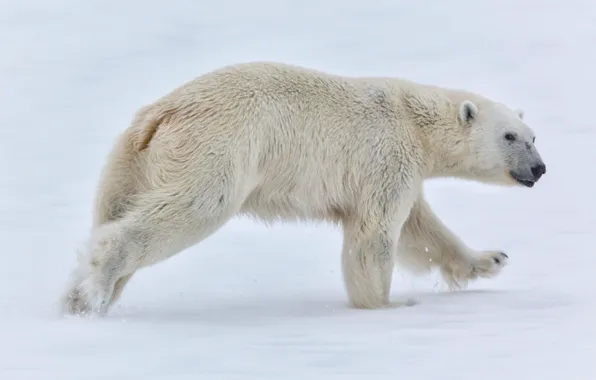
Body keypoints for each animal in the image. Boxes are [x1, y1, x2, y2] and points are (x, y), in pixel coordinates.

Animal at [60, 61, 544, 314]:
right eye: (509, 136)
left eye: (533, 135)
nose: (539, 169)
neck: (415, 120)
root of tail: (161, 114)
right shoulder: (385, 156)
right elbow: (376, 235)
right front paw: (386, 306)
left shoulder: (401, 169)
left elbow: (420, 231)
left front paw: (490, 259)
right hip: (217, 147)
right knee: (191, 207)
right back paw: (96, 289)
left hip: (131, 161)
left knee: (112, 210)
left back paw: (77, 297)